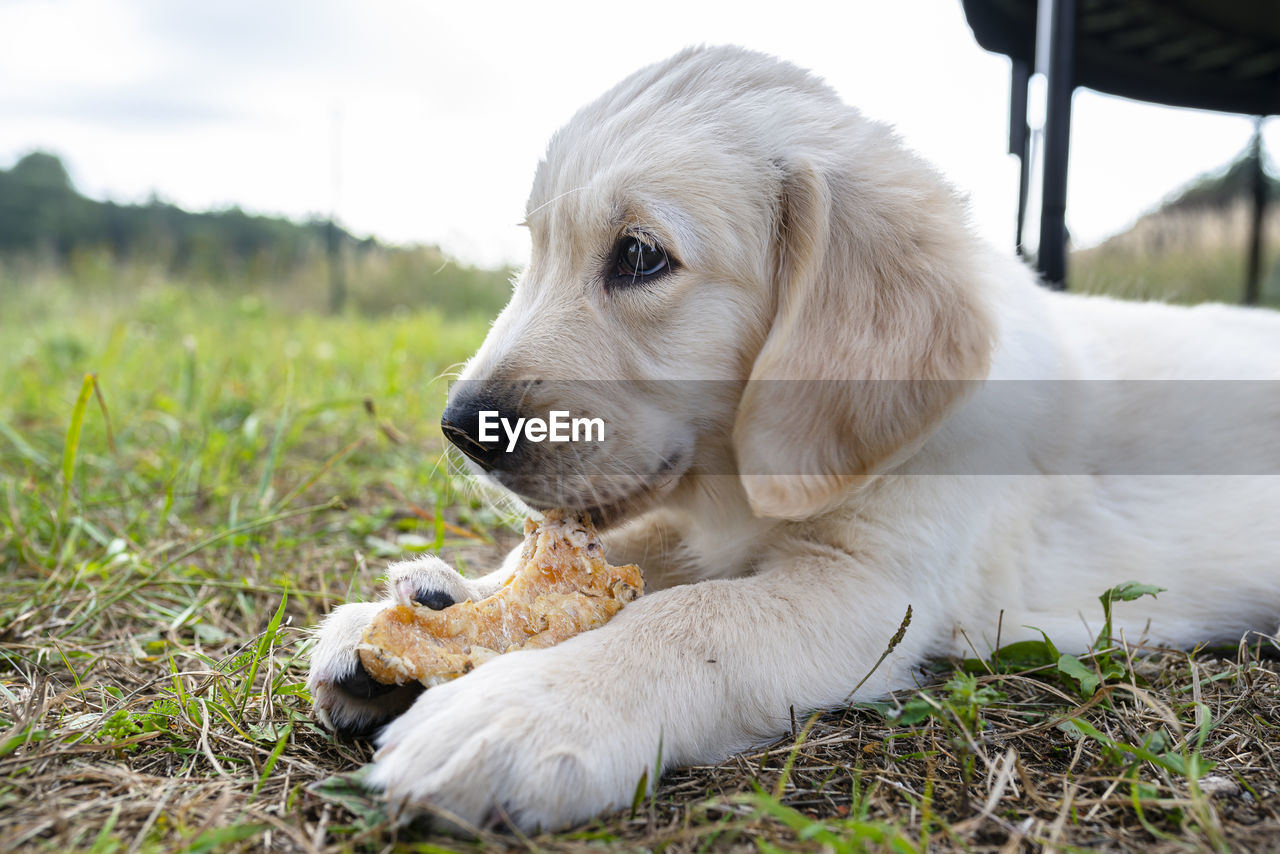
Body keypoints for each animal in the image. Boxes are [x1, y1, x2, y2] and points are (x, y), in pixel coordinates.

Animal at [307, 43, 1280, 829]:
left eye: (640, 255)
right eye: (536, 249)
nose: (459, 429)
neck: (738, 481)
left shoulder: (868, 591)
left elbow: (691, 618)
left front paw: (525, 709)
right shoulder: (691, 521)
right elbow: (635, 557)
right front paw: (436, 607)